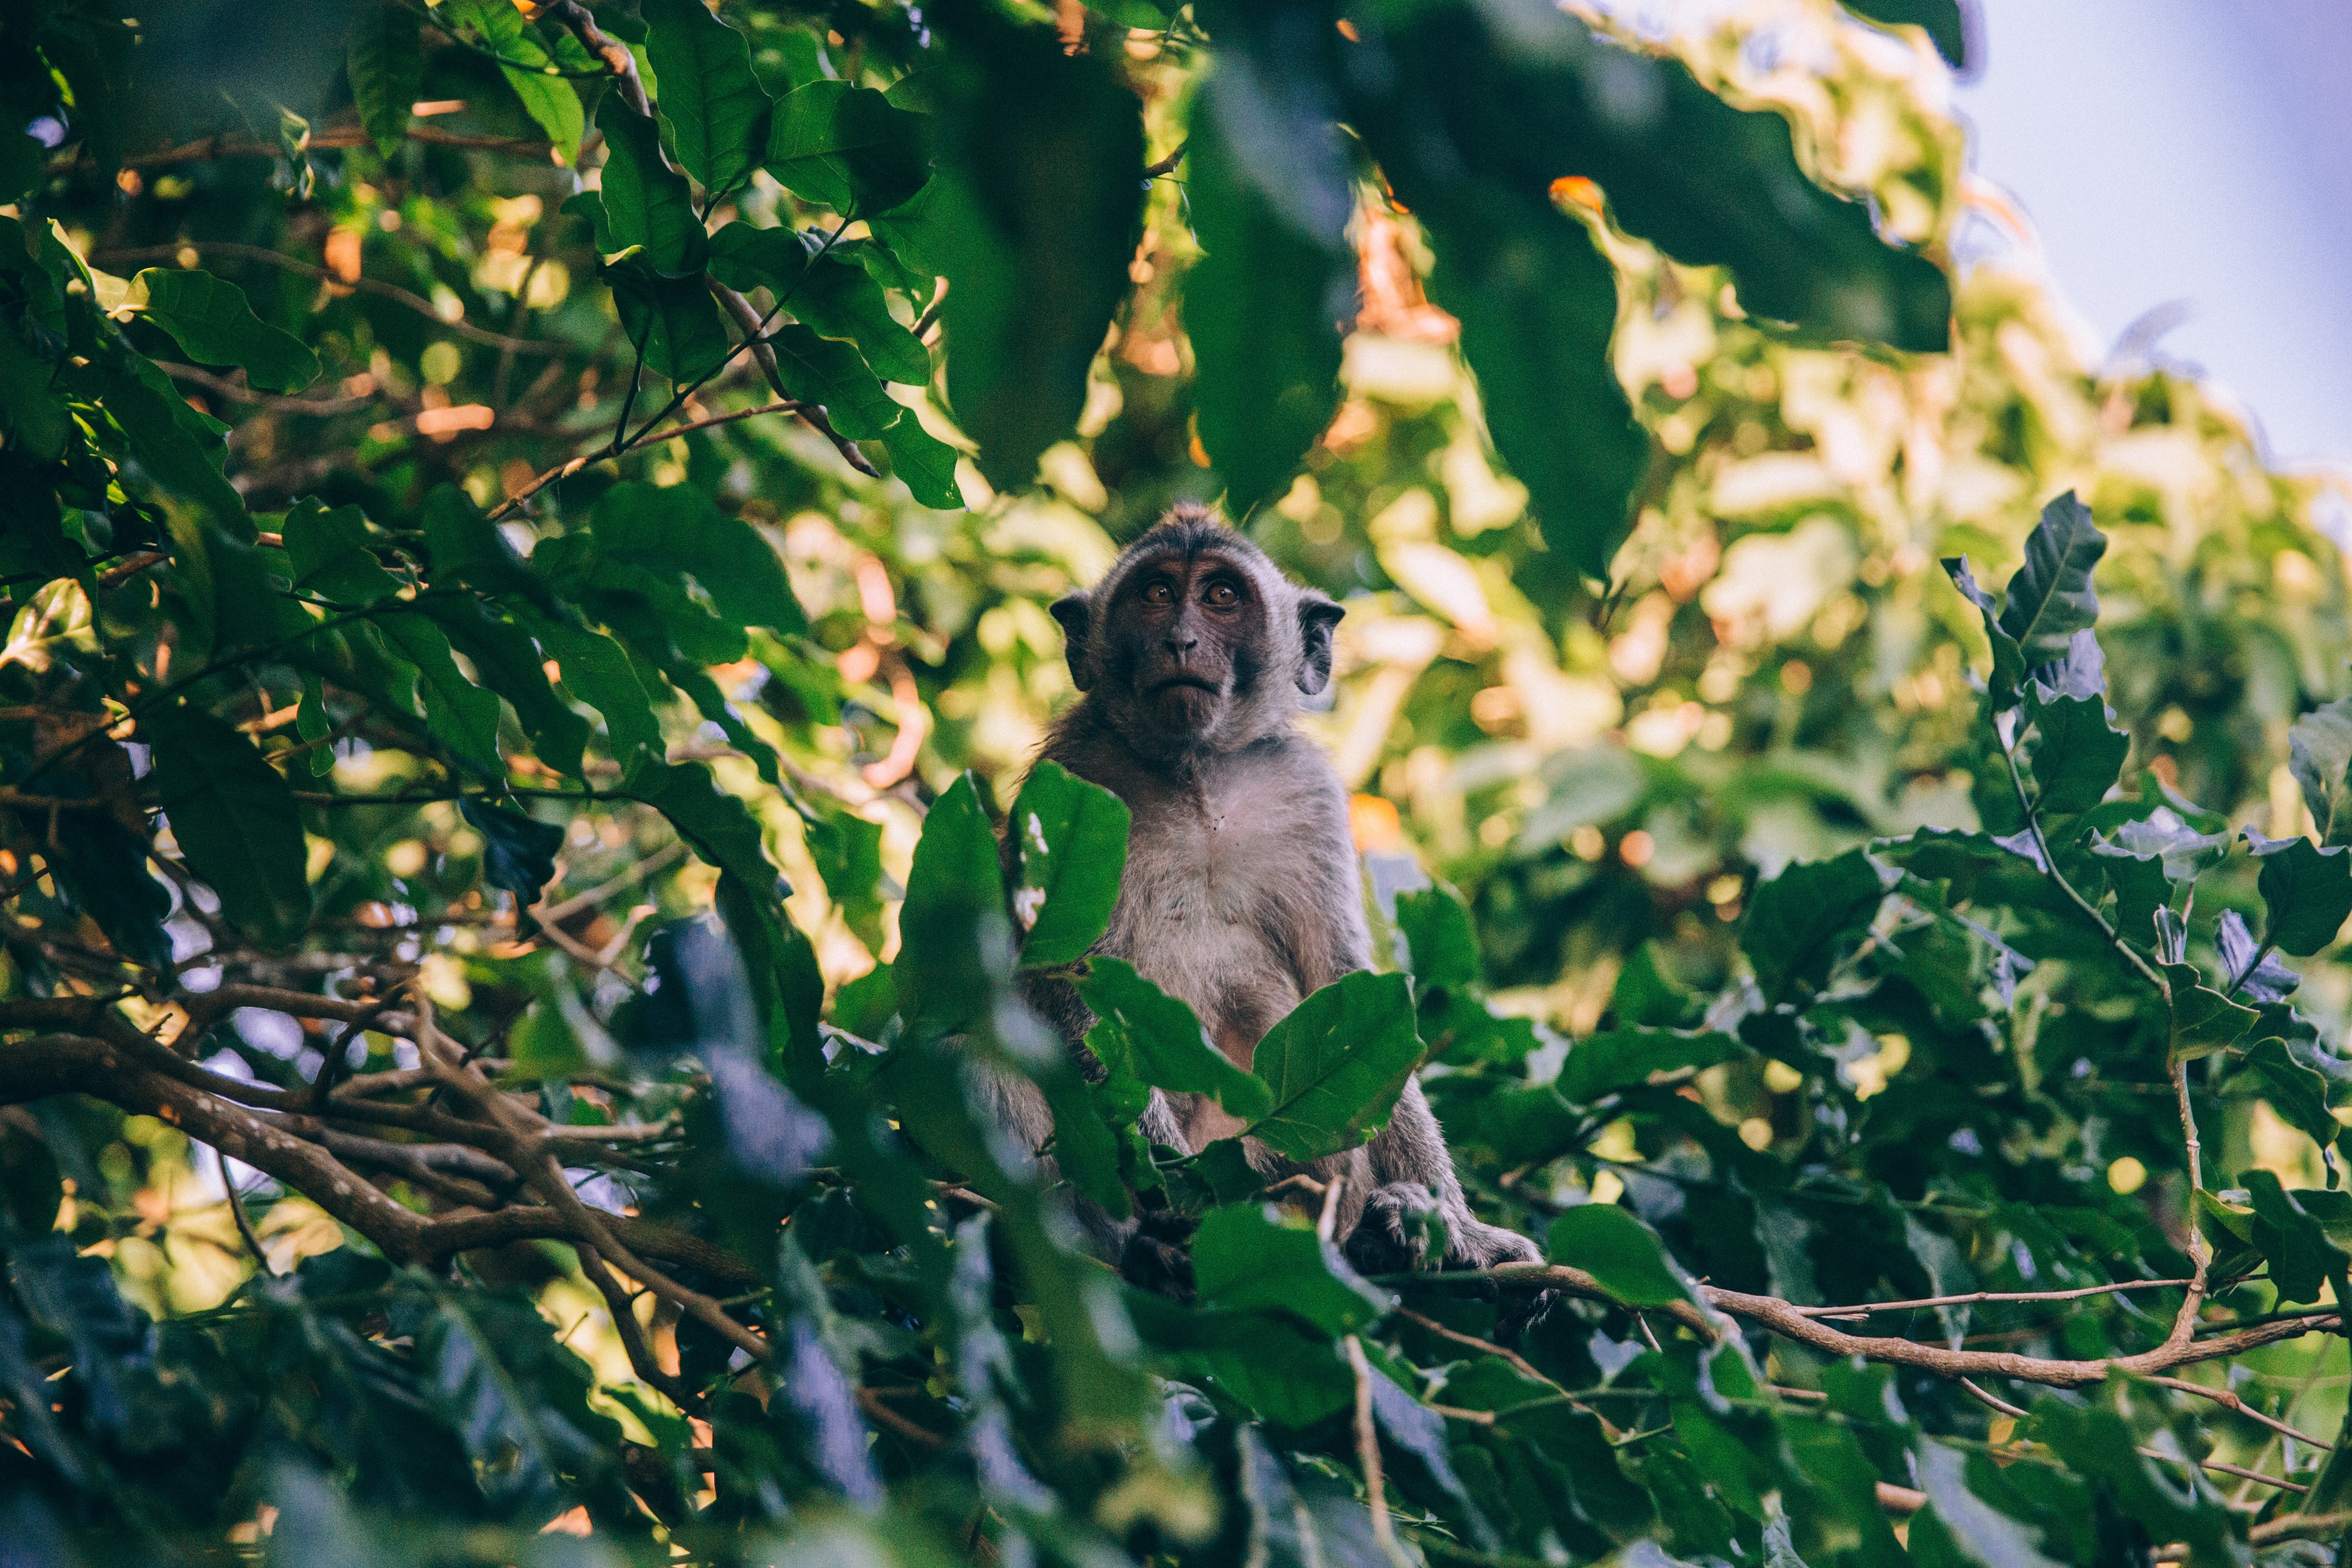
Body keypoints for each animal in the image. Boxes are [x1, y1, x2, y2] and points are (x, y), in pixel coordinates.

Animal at [1002, 502, 1542, 1286]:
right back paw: (1146, 1244)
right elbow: (1064, 981)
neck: (1197, 775)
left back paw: (1381, 1232)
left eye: (1221, 596)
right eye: (1156, 594)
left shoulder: (1305, 795)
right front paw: (1176, 1187)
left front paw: (1462, 1230)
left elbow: (1349, 994)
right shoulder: (1075, 773)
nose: (1181, 639)